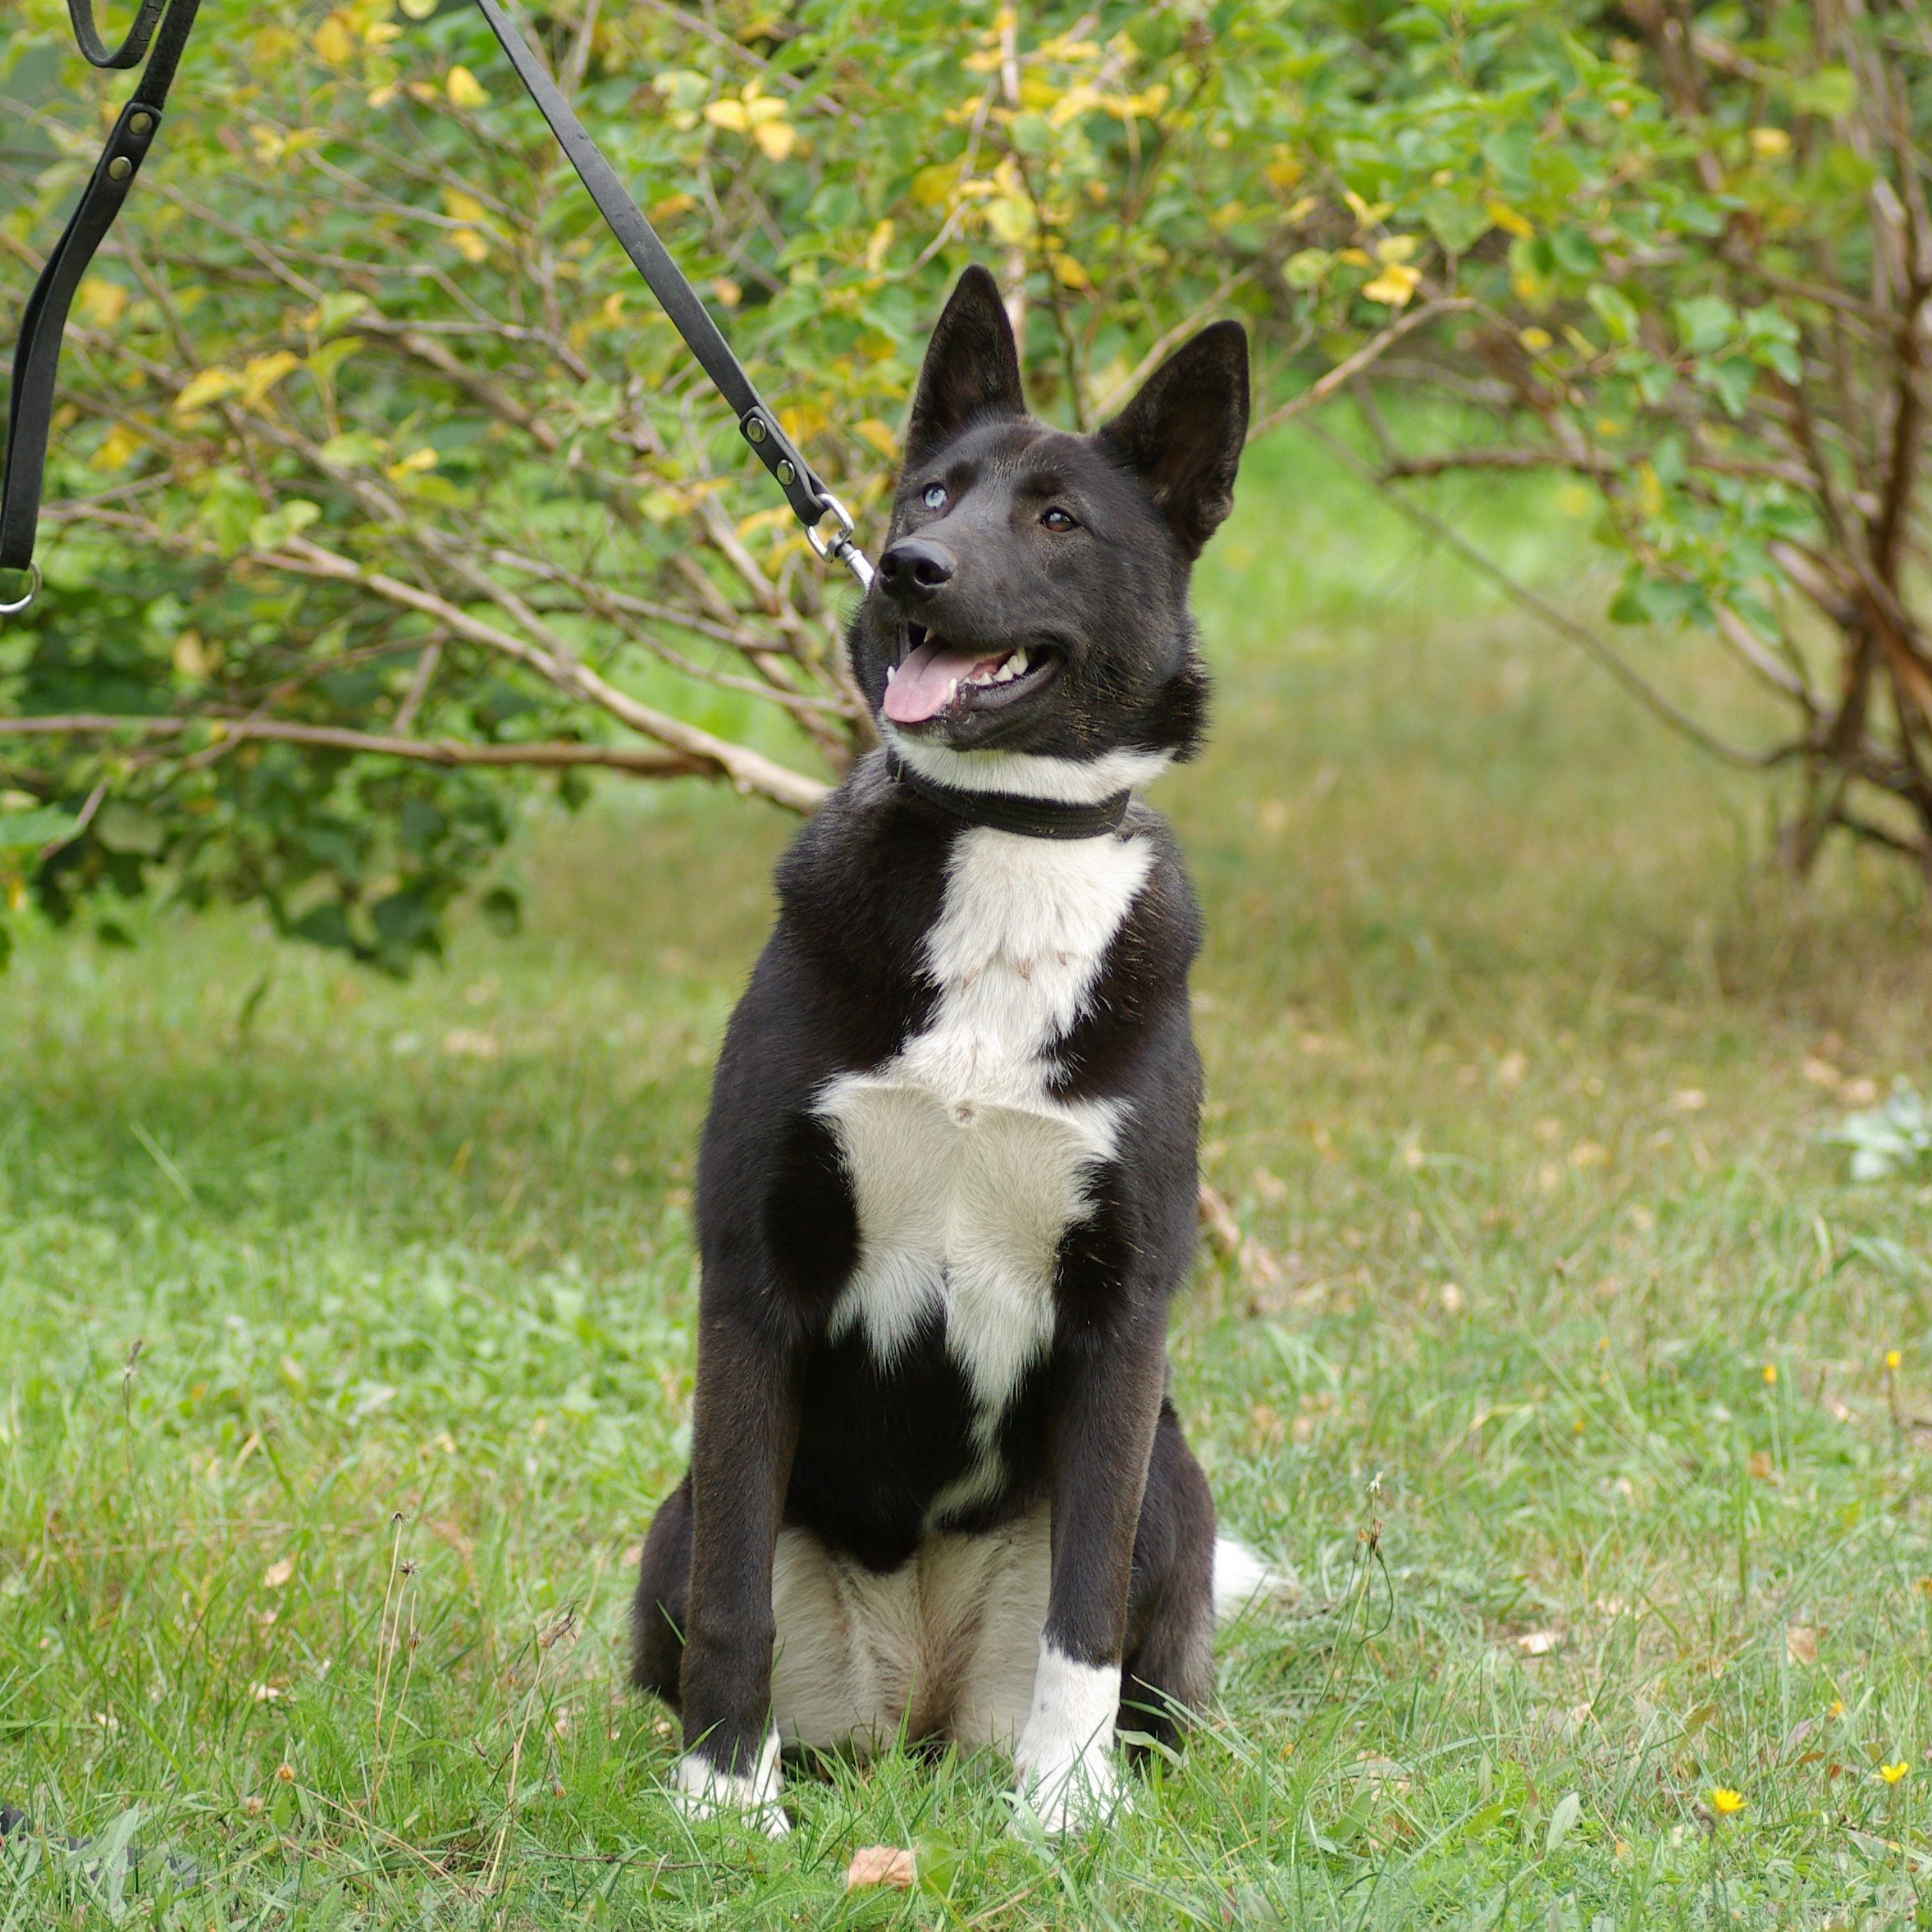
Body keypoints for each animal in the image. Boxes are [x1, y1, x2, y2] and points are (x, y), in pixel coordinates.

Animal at [631, 264, 1266, 1835]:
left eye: (1058, 520)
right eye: (929, 491)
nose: (906, 569)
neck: (1008, 832)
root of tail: (916, 1707)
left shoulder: (1121, 1316)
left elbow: (1081, 1610)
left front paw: (1065, 1810)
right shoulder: (754, 1280)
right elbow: (734, 1592)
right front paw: (724, 1799)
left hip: (1175, 1477)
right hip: (671, 1516)